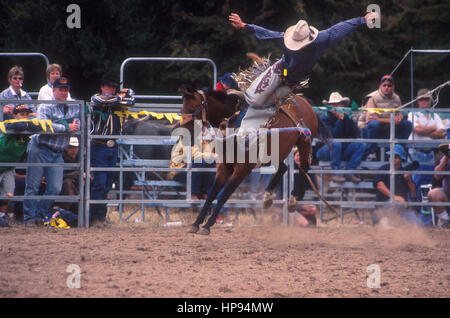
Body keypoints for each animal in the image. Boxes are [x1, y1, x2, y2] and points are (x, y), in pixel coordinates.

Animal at [177, 84, 330, 234]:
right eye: (182, 109)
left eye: (192, 109)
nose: (182, 135)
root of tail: (306, 103)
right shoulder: (223, 167)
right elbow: (211, 196)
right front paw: (196, 224)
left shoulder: (241, 170)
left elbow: (223, 196)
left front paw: (207, 225)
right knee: (284, 168)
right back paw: (267, 198)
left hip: (304, 143)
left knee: (304, 168)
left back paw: (293, 201)